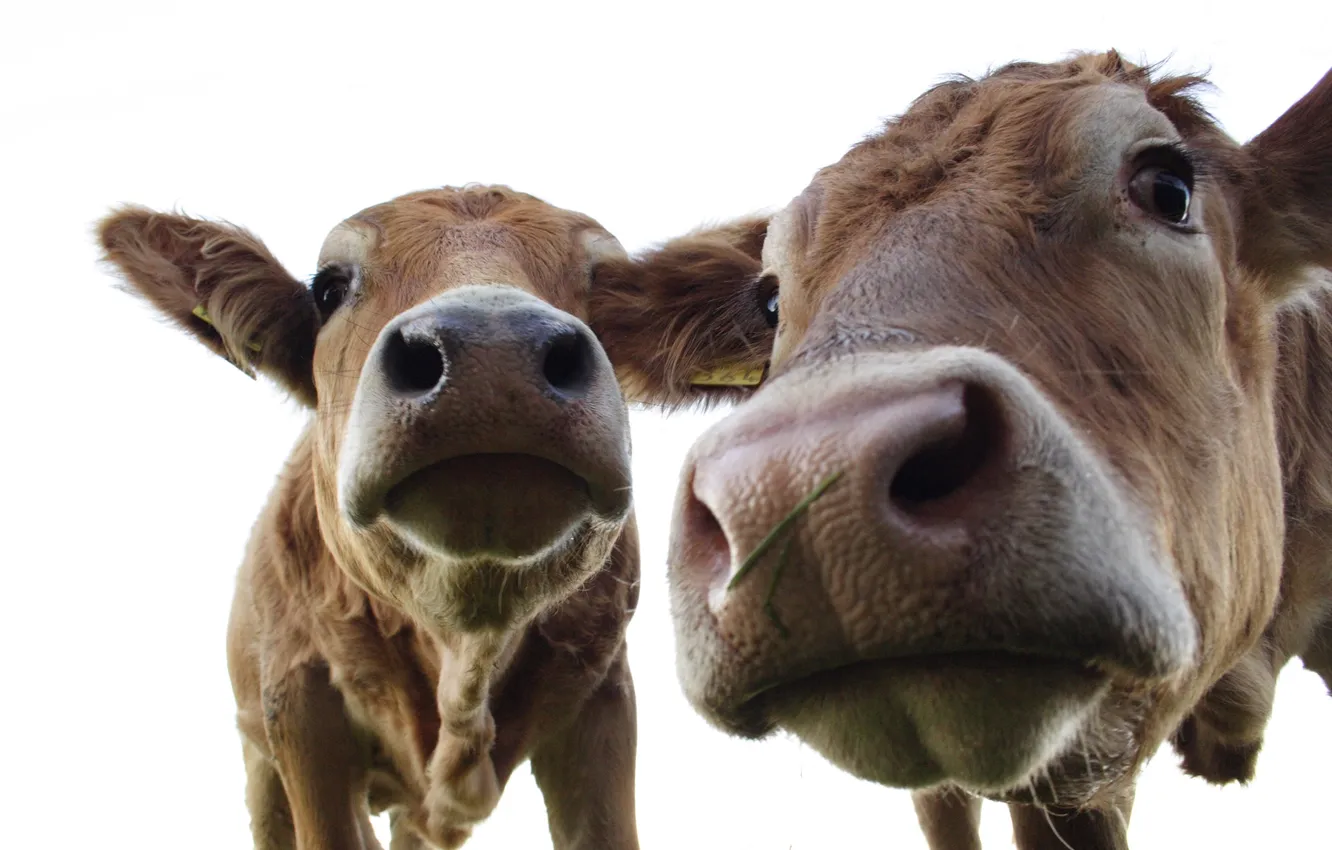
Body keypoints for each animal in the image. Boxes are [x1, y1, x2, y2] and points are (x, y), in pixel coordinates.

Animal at [95, 185, 772, 850]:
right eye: (328, 288)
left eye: (607, 282)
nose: (495, 350)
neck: (465, 647)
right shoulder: (299, 703)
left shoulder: (603, 696)